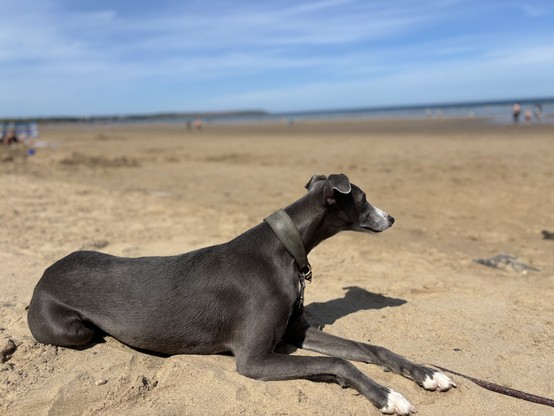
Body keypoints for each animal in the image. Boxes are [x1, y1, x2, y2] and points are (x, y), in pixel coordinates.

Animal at [28, 174, 452, 414]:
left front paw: (428, 373)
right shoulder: (254, 359)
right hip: (72, 329)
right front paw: (389, 396)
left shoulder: (295, 331)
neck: (284, 250)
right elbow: (340, 363)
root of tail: (45, 273)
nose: (392, 217)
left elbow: (370, 349)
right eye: (363, 199)